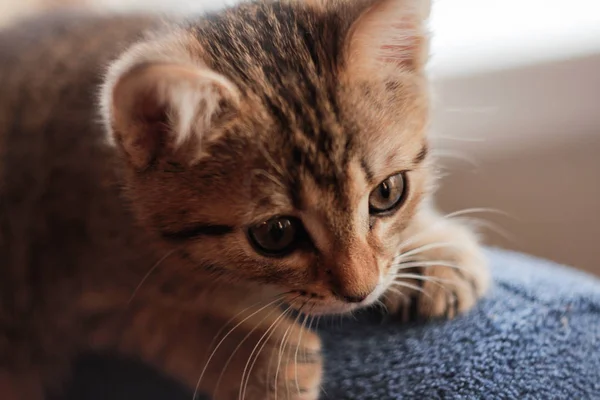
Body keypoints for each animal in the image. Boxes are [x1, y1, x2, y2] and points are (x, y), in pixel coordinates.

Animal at [0, 0, 488, 400]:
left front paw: (435, 248)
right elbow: (155, 313)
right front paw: (257, 357)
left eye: (388, 192)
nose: (360, 293)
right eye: (276, 234)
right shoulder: (68, 294)